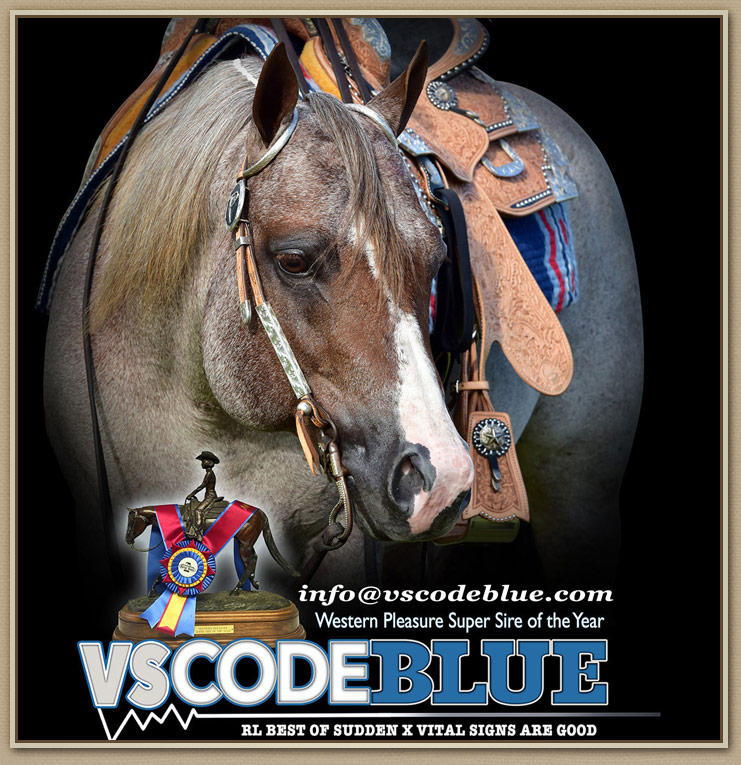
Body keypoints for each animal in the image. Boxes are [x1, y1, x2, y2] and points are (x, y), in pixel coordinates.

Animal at [124, 501, 300, 593]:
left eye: (132, 522)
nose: (127, 540)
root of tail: (259, 512)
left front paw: (154, 588)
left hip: (244, 545)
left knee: (249, 562)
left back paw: (236, 589)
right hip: (245, 543)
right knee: (253, 559)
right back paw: (253, 583)